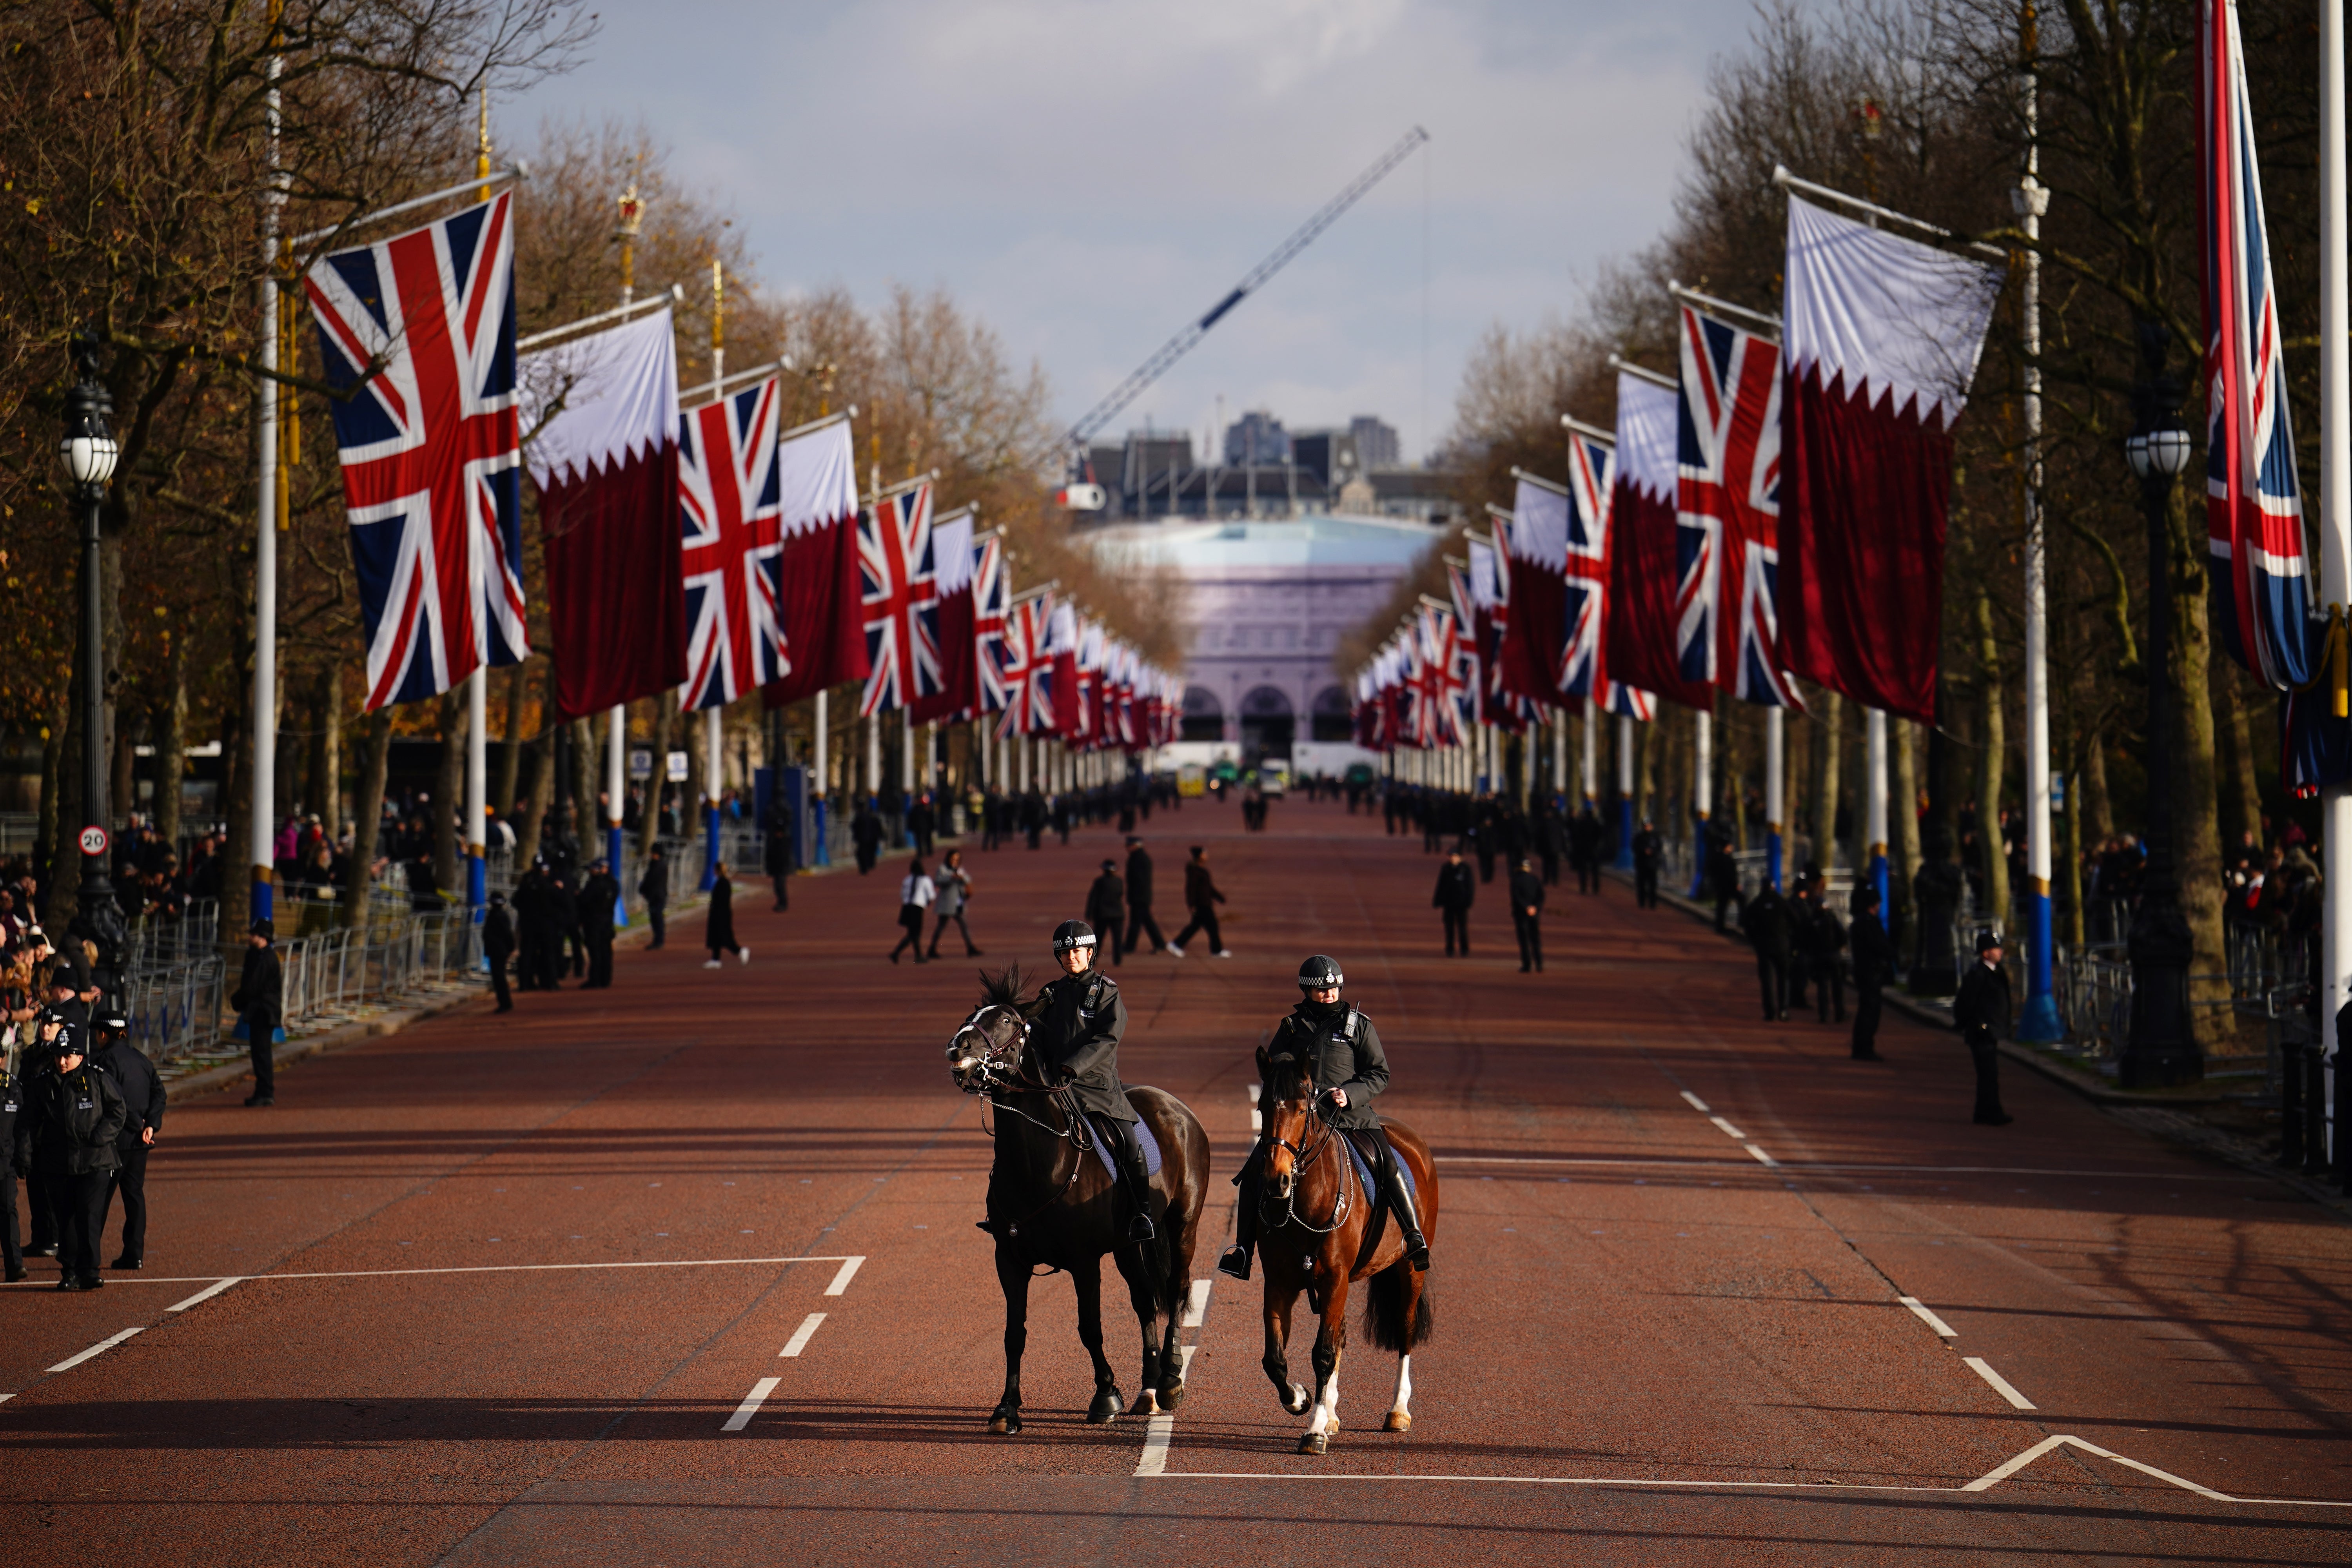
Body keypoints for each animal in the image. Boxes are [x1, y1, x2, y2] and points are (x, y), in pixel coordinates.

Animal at [941, 968, 1204, 1439]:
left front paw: (1105, 1396)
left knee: (1174, 1290)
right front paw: (1007, 1408)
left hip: (1183, 1226)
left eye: (1007, 1021)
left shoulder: (1084, 1261)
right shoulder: (1009, 1259)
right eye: (973, 1015)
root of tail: (1177, 1107)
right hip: (1130, 1244)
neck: (1039, 1160)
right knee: (1143, 1300)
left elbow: (1090, 1328)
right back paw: (1149, 1387)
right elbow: (1014, 1333)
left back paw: (1171, 1380)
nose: (958, 1048)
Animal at [1251, 1044, 1430, 1457]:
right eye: (1264, 1106)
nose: (1276, 1180)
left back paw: (1398, 1412)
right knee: (1341, 1335)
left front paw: (1314, 1430)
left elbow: (1323, 1353)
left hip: (1409, 1270)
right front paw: (1301, 1399)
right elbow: (1276, 1359)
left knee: (1405, 1330)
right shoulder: (1281, 1282)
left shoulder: (1334, 1279)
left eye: (1303, 1108)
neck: (1304, 1201)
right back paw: (1331, 1411)